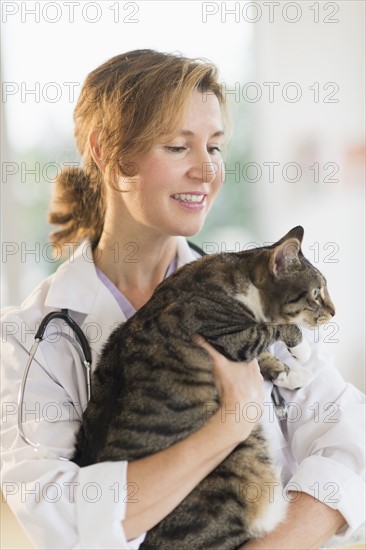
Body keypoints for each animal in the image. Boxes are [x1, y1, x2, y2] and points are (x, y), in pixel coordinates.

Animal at [73, 226, 336, 548]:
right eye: (316, 294)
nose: (334, 312)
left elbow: (263, 354)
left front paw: (292, 374)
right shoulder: (224, 335)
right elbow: (269, 330)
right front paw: (300, 350)